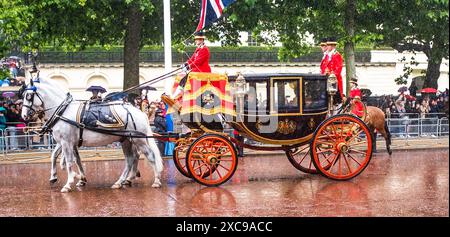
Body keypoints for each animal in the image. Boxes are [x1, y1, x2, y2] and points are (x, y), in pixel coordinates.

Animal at [21, 78, 163, 193]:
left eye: (28, 96)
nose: (24, 116)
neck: (63, 111)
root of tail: (139, 112)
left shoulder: (66, 142)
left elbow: (69, 161)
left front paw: (69, 183)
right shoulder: (67, 142)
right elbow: (65, 158)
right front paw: (65, 177)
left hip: (138, 140)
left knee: (149, 156)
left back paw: (156, 180)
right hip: (126, 140)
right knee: (130, 159)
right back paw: (121, 181)